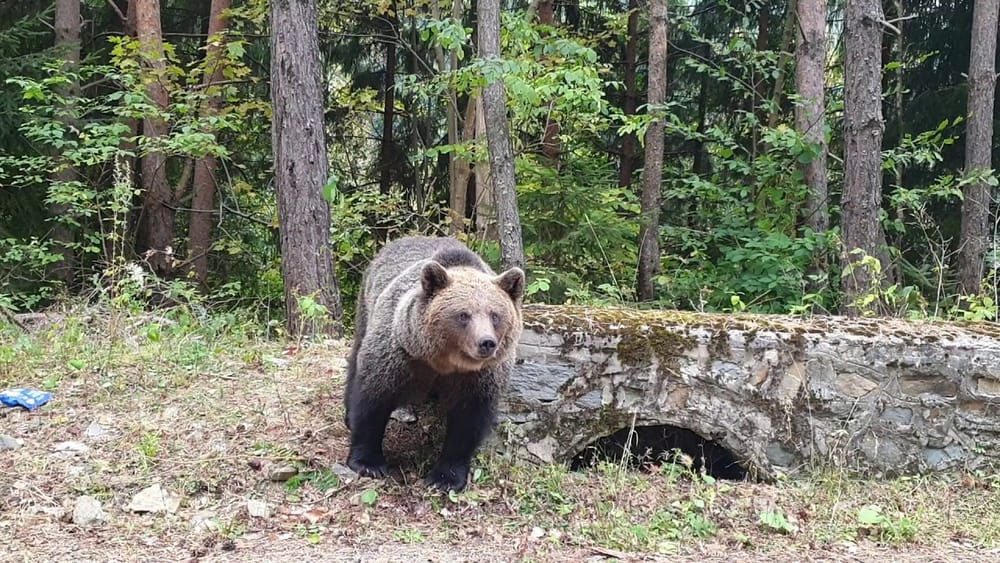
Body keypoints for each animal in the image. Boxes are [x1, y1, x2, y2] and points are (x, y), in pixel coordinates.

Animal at [343, 235, 525, 492]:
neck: (444, 362)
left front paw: (445, 478)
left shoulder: (479, 377)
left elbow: (467, 422)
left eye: (495, 315)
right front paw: (368, 463)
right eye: (463, 314)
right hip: (367, 305)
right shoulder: (400, 354)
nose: (486, 343)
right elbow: (374, 398)